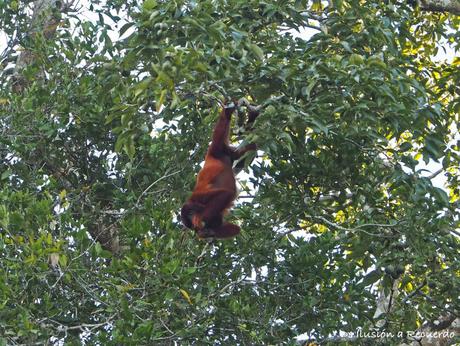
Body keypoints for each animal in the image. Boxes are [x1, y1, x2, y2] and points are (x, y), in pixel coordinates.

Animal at [181, 101, 258, 239]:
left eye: (190, 214)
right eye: (189, 222)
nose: (192, 220)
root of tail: (209, 156)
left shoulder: (199, 197)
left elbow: (225, 193)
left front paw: (199, 219)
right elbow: (233, 228)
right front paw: (204, 233)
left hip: (215, 149)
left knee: (218, 134)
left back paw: (228, 112)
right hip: (228, 152)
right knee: (245, 154)